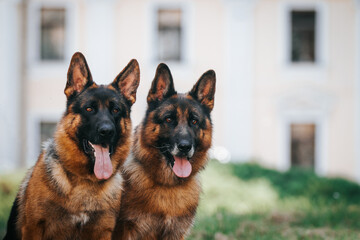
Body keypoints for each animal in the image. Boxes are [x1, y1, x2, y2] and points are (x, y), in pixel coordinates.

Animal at [4, 51, 139, 239]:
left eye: (116, 110)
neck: (85, 180)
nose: (107, 131)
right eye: (89, 109)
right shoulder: (33, 228)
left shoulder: (103, 231)